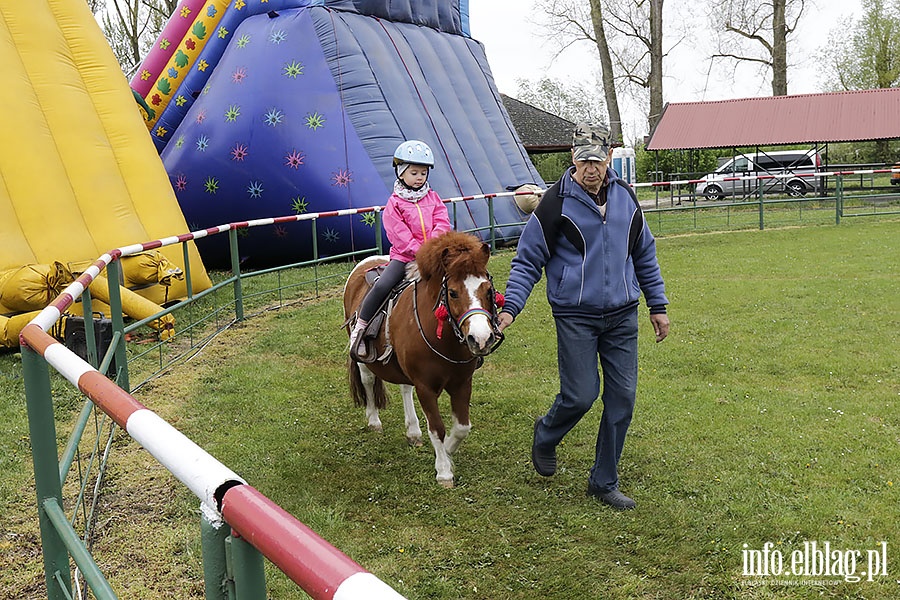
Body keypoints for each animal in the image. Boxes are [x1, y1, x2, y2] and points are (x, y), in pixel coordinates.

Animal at [342, 230, 502, 488]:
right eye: (452, 292)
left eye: (488, 291)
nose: (481, 338)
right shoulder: (425, 387)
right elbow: (437, 428)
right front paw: (444, 471)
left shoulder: (462, 382)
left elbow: (462, 427)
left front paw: (448, 450)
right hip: (363, 358)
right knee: (368, 380)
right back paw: (374, 421)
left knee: (405, 388)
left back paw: (413, 432)